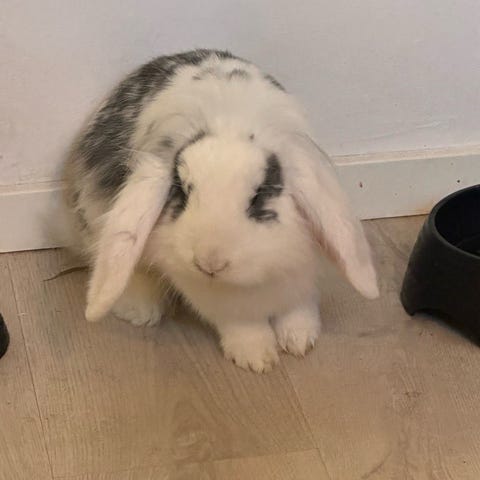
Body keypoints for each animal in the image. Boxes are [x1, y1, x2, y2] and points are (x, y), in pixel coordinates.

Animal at [63, 49, 379, 372]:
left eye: (258, 194)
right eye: (182, 191)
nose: (210, 263)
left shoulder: (298, 267)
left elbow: (296, 304)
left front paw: (299, 339)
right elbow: (240, 321)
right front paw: (256, 357)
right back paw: (140, 309)